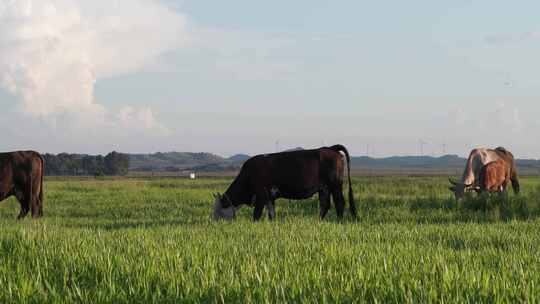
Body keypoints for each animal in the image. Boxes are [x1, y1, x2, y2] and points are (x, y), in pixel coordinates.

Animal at [213, 145, 356, 221]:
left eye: (217, 209)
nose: (212, 221)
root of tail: (330, 148)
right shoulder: (269, 197)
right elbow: (271, 213)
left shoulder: (261, 195)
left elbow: (256, 214)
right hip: (324, 188)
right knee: (325, 205)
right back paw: (318, 220)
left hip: (335, 185)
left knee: (339, 203)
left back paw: (338, 220)